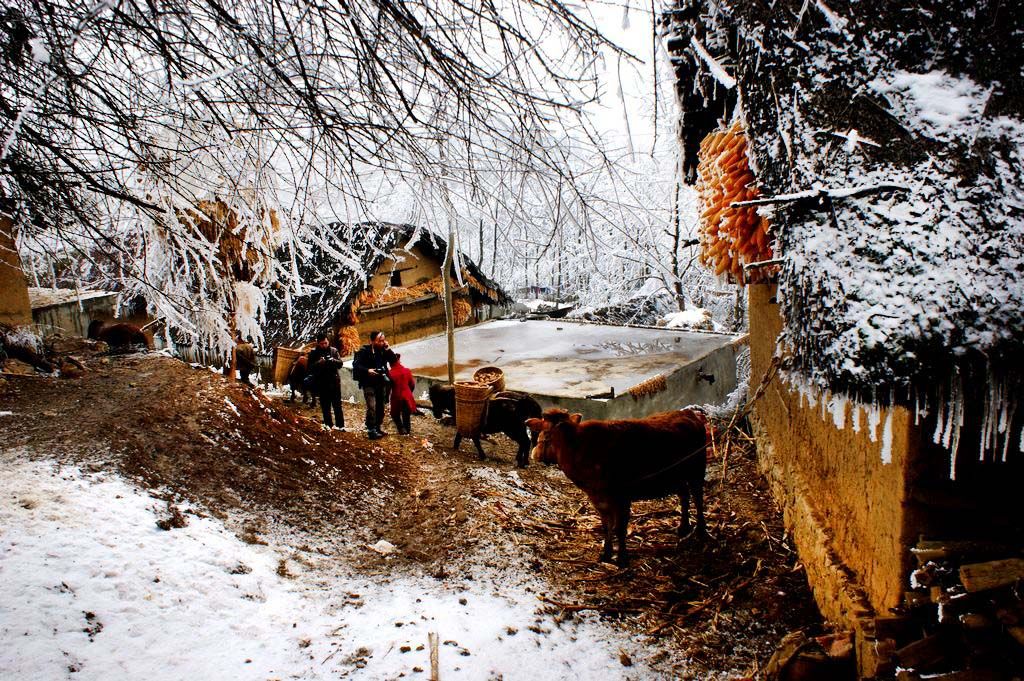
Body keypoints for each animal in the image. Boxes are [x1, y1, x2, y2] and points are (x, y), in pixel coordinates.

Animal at [524, 405, 708, 565]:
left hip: (697, 471)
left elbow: (620, 528)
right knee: (684, 496)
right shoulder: (598, 498)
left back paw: (701, 531)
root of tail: (690, 414)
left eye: (542, 433)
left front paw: (622, 559)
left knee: (698, 499)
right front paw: (606, 554)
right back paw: (683, 527)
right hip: (677, 476)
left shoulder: (622, 497)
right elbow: (607, 527)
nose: (534, 454)